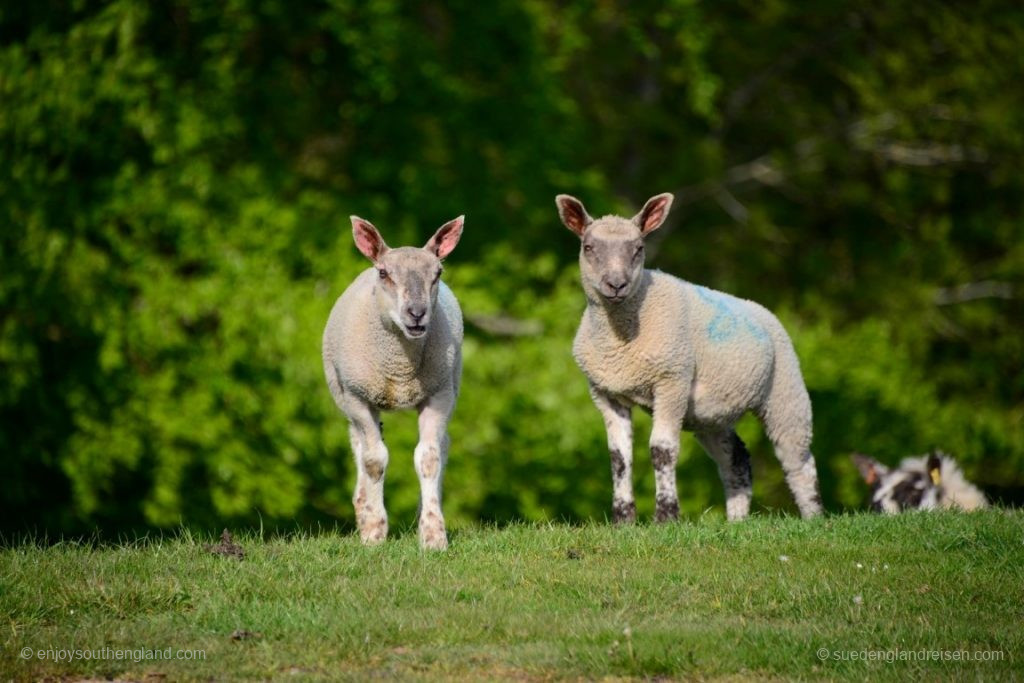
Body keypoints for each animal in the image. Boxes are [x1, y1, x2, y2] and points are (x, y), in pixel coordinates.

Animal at [321, 215, 466, 548]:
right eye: (384, 273)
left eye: (438, 273)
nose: (417, 314)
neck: (399, 368)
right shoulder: (358, 397)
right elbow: (374, 459)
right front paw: (374, 530)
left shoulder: (438, 395)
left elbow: (429, 458)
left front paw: (433, 535)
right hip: (345, 394)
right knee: (359, 443)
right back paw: (363, 507)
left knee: (443, 445)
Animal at [557, 192, 819, 524]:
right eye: (588, 247)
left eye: (639, 248)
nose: (616, 285)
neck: (619, 344)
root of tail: (762, 310)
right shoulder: (606, 392)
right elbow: (619, 459)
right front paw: (623, 521)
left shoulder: (672, 380)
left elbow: (662, 450)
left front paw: (666, 517)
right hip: (711, 414)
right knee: (737, 459)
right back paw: (736, 521)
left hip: (785, 387)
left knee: (798, 461)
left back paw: (815, 517)